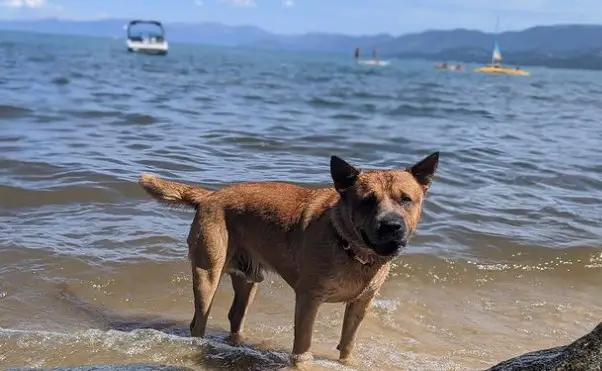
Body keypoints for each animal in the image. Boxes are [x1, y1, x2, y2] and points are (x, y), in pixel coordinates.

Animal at [138, 153, 438, 364]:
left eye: (406, 199)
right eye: (367, 201)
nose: (391, 226)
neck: (350, 248)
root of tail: (210, 195)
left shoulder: (361, 304)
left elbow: (348, 344)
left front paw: (348, 362)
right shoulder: (308, 299)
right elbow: (303, 345)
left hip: (248, 281)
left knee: (235, 316)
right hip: (207, 275)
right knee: (198, 322)